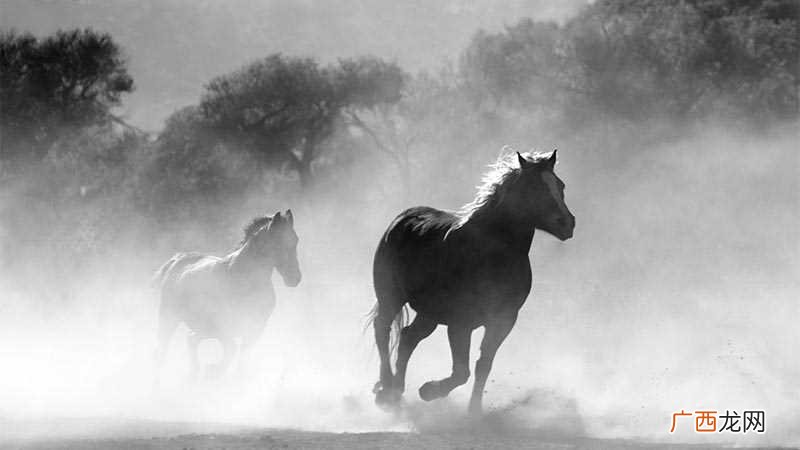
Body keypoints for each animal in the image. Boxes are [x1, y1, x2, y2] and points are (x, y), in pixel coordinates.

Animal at [153, 210, 301, 380]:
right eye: (278, 242)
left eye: (296, 240)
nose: (295, 278)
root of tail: (177, 259)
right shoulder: (224, 327)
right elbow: (231, 351)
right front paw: (213, 370)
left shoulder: (255, 328)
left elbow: (241, 361)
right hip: (169, 318)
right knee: (162, 350)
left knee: (191, 339)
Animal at [370, 149, 574, 414]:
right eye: (533, 187)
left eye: (560, 185)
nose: (567, 223)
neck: (492, 254)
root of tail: (401, 219)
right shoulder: (461, 323)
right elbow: (461, 372)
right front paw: (429, 391)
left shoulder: (503, 320)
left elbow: (483, 365)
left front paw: (474, 411)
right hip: (391, 297)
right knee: (382, 329)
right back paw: (386, 390)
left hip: (429, 314)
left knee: (407, 338)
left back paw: (397, 391)